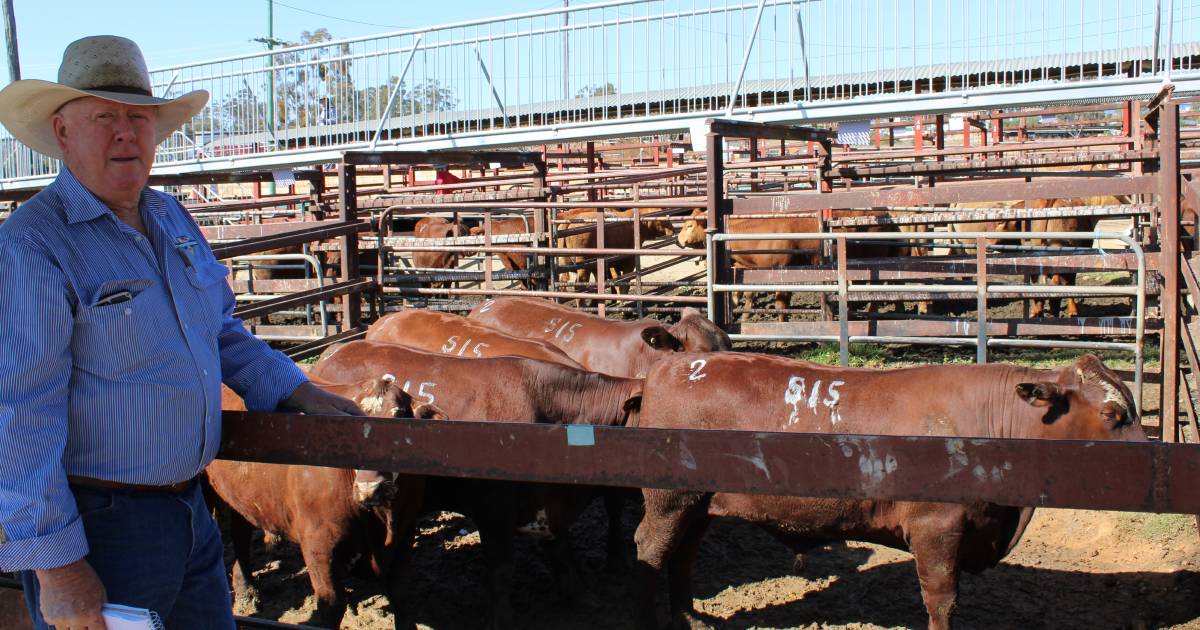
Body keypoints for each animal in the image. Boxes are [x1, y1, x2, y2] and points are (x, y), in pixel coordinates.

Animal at [312, 340, 648, 624]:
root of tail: (333, 352)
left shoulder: (548, 507)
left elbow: (561, 550)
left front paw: (580, 595)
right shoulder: (494, 515)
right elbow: (502, 571)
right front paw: (502, 619)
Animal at [633, 352, 1137, 628]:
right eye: (1112, 415)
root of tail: (672, 366)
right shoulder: (937, 528)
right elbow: (941, 600)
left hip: (699, 504)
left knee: (682, 556)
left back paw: (691, 618)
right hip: (668, 501)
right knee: (651, 551)